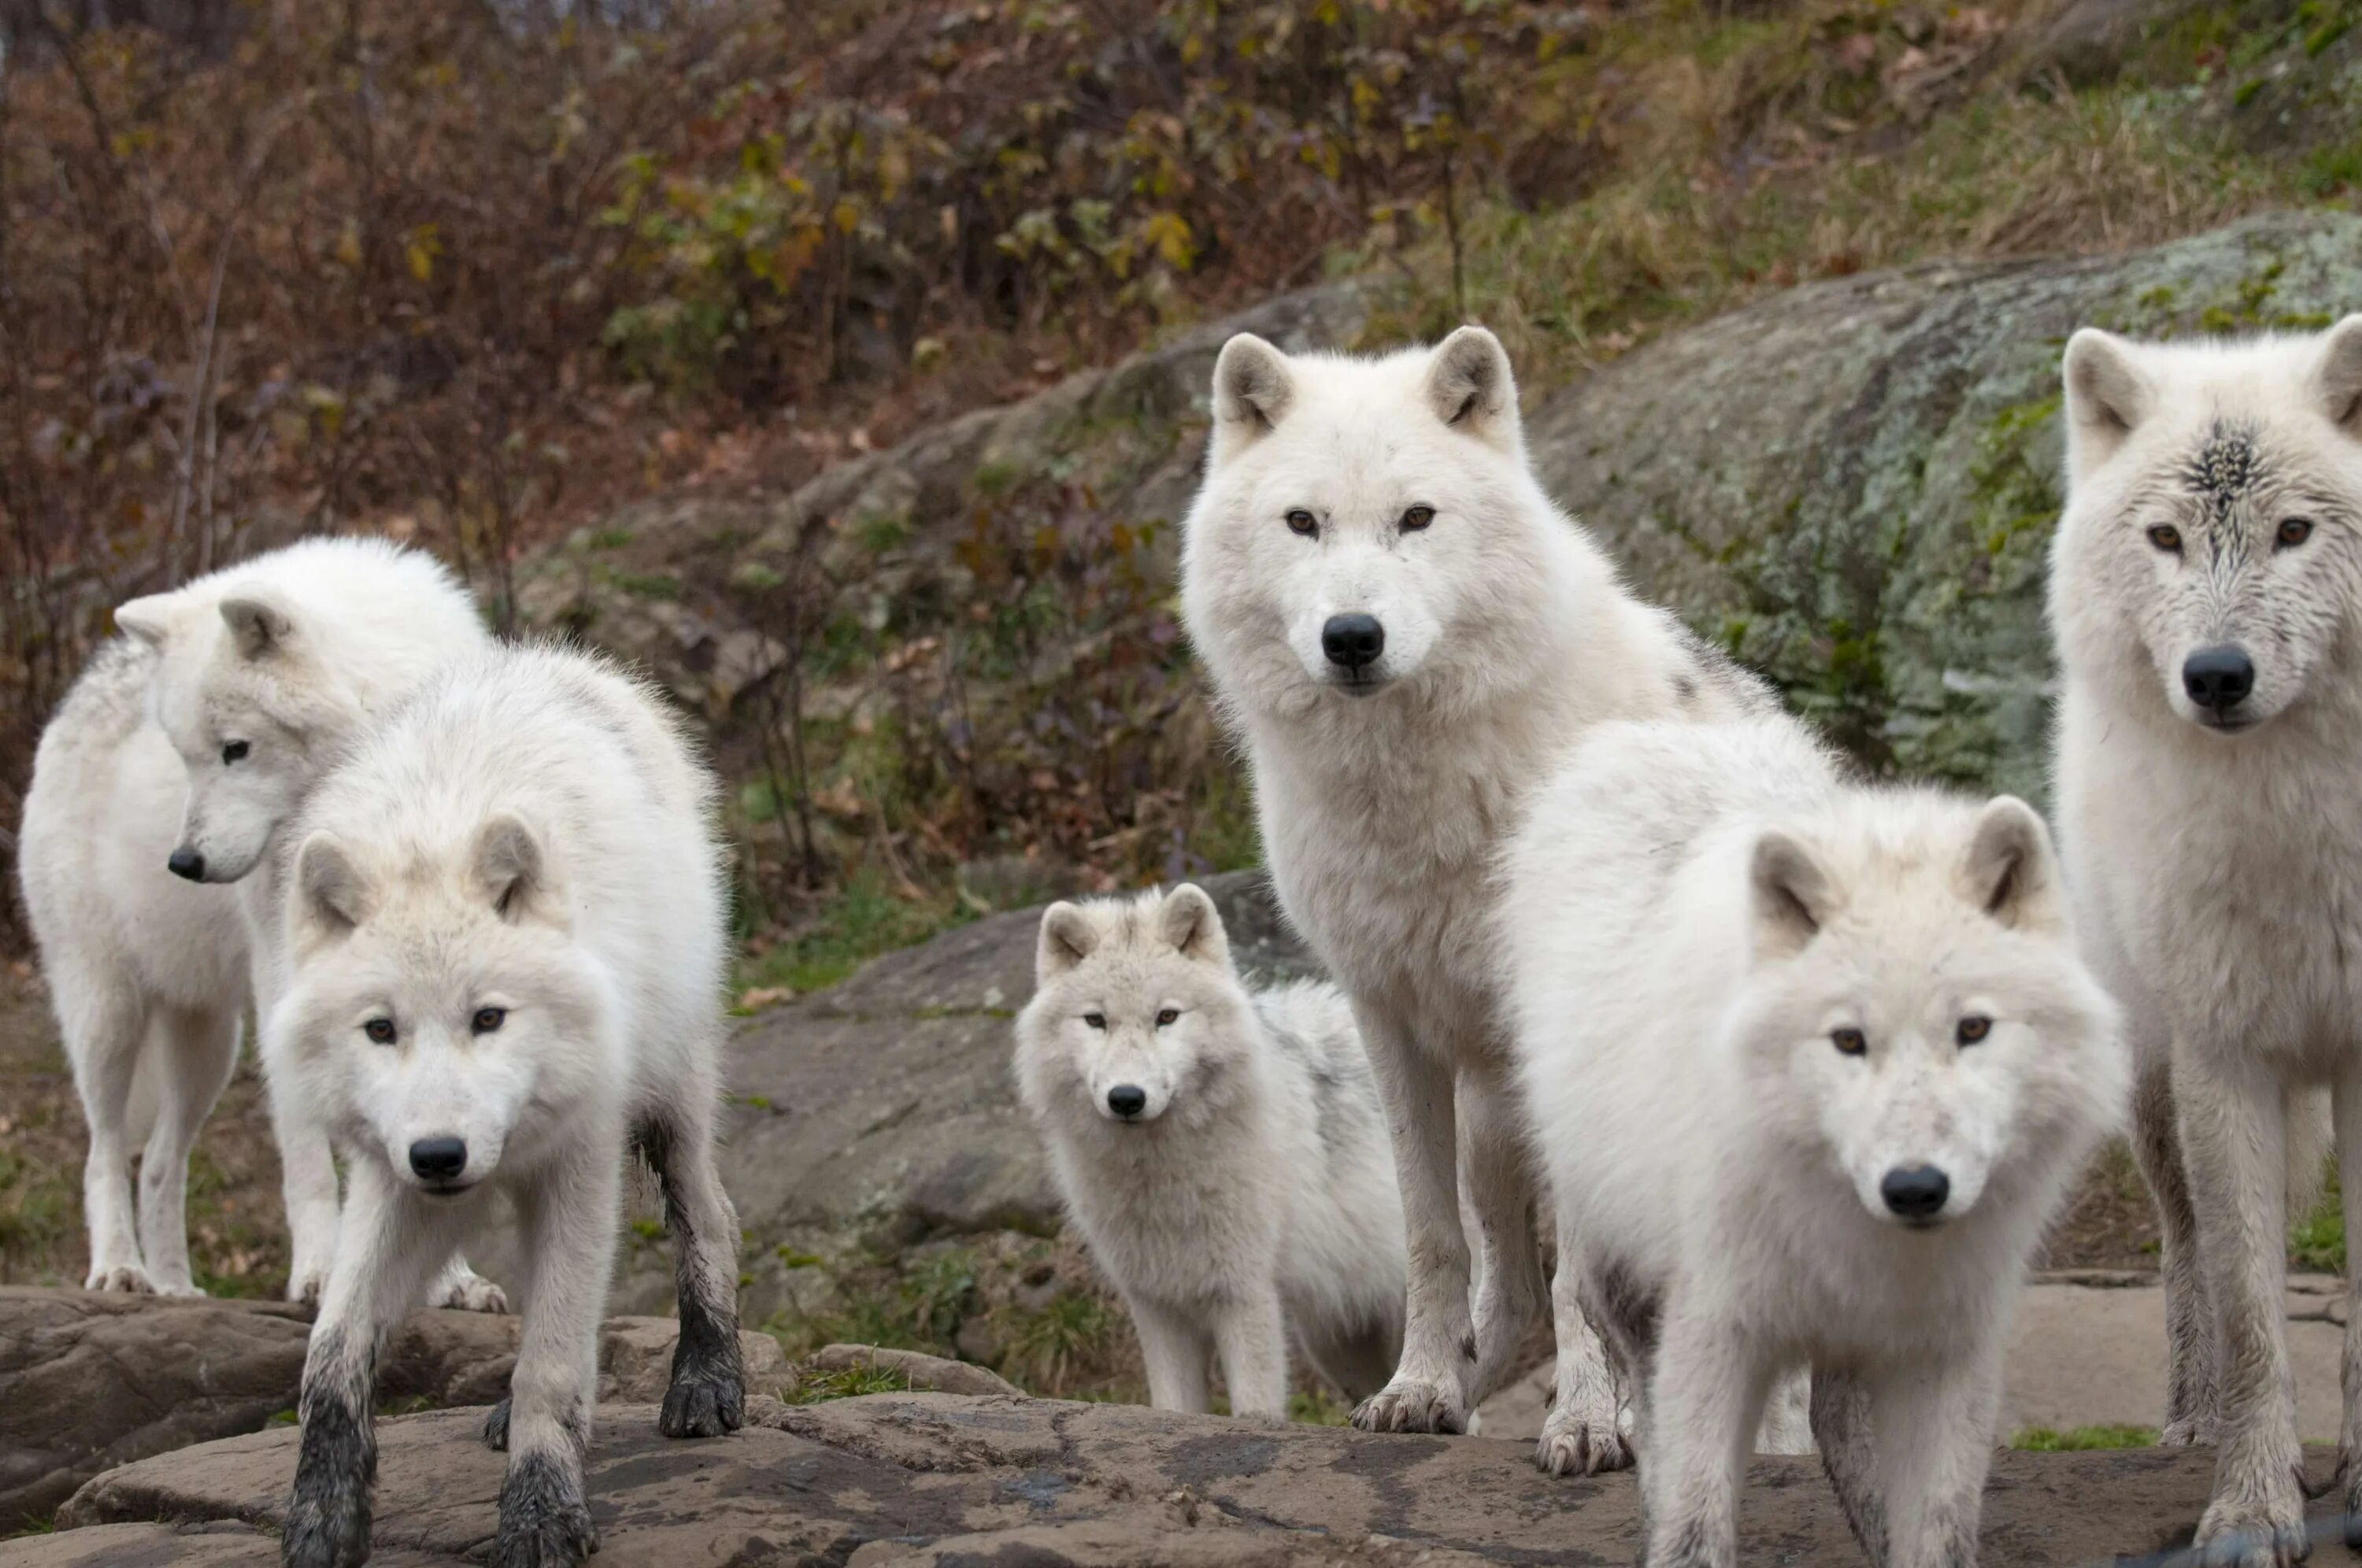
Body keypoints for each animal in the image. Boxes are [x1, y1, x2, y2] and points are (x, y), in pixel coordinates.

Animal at [1011, 883, 1398, 1417]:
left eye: (1167, 1017)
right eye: (1095, 1021)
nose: (1126, 1098)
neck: (1159, 1177)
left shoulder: (1244, 1294)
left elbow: (1256, 1408)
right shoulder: (1156, 1306)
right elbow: (1174, 1407)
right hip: (1339, 1345)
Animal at [1181, 319, 1776, 1455]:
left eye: (1416, 518)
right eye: (1303, 523)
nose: (1353, 637)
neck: (1419, 797)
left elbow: (1584, 1273)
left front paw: (1587, 1424)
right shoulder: (1387, 1019)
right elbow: (1433, 1242)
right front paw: (1417, 1388)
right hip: (1492, 1125)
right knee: (1512, 1288)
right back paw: (1461, 1392)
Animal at [1502, 718, 2135, 1559]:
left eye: (1973, 1030)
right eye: (1848, 1041)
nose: (1915, 1188)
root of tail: (1667, 732)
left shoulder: (1947, 1344)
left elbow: (1939, 1527)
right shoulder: (1717, 1324)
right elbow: (1696, 1518)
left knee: (1834, 1414)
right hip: (1622, 1265)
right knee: (1649, 1400)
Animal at [2050, 312, 2362, 1559]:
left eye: (2293, 532)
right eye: (2168, 539)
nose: (2217, 676)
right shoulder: (2226, 1054)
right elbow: (2251, 1308)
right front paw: (2251, 1506)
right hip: (2153, 1081)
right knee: (2186, 1252)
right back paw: (2189, 1425)